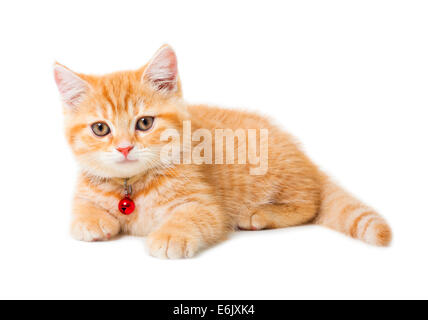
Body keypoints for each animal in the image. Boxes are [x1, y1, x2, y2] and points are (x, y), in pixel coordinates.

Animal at [53, 45, 392, 258]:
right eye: (100, 129)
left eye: (145, 123)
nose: (124, 147)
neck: (132, 185)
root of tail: (303, 157)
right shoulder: (86, 189)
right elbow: (81, 208)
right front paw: (92, 220)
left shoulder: (206, 205)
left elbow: (190, 216)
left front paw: (170, 236)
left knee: (310, 203)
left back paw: (260, 215)